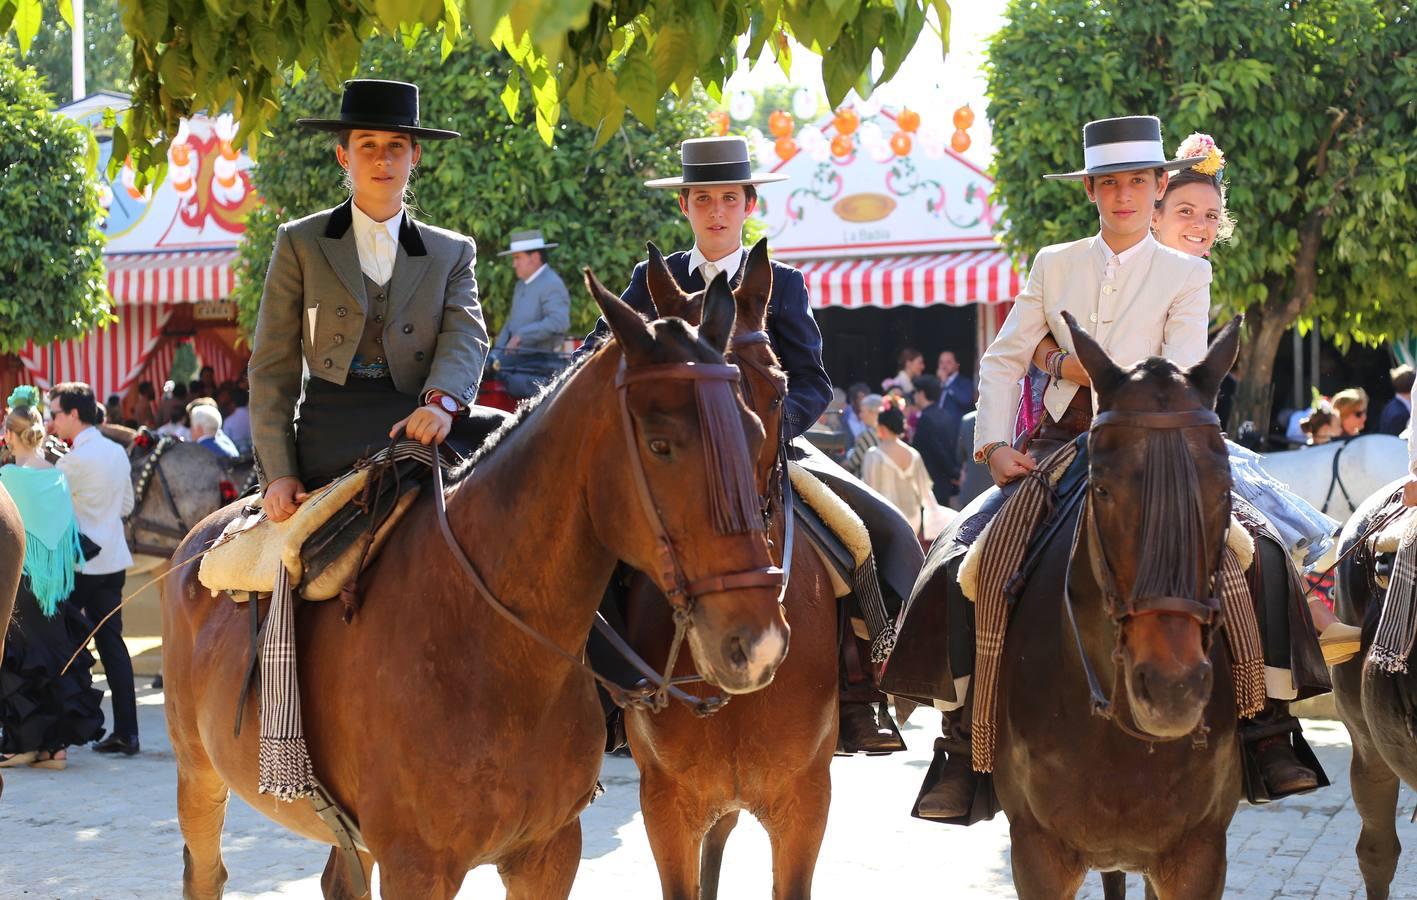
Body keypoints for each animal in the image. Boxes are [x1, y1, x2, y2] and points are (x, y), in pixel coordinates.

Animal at [162, 277, 799, 895]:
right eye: (661, 444)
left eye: (756, 429)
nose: (758, 640)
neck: (489, 643)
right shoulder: (416, 868)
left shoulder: (547, 854)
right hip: (198, 773)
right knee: (204, 872)